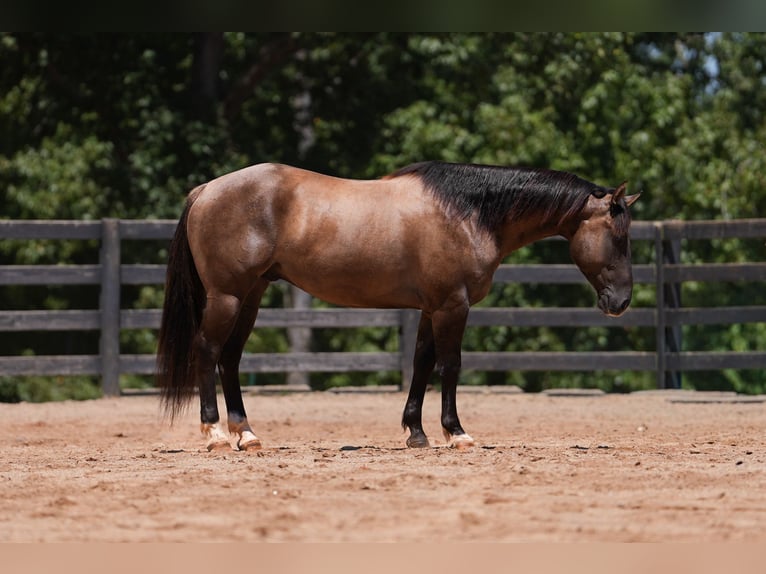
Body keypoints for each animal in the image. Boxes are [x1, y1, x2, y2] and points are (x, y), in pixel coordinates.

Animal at [156, 160, 640, 451]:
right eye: (619, 236)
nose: (621, 302)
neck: (468, 214)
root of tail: (205, 189)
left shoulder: (432, 308)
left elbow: (422, 362)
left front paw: (417, 432)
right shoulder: (452, 306)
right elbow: (450, 364)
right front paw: (456, 432)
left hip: (251, 296)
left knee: (231, 359)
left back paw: (247, 434)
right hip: (228, 296)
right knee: (208, 352)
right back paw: (216, 434)